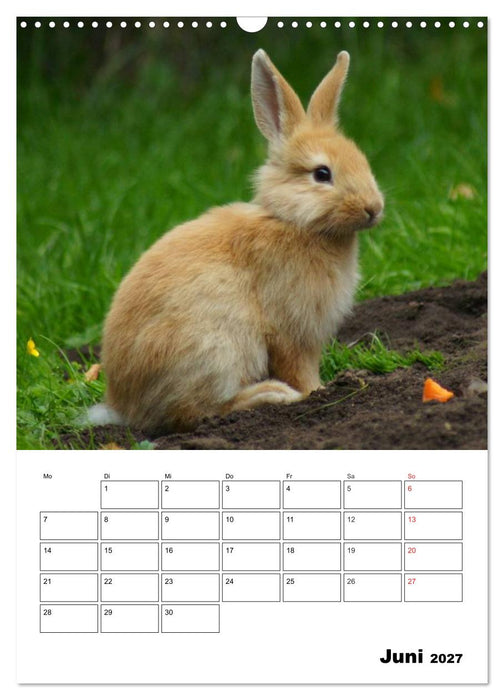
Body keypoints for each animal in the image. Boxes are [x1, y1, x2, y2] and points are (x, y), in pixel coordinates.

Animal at [95, 49, 384, 434]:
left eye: (362, 160)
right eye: (322, 174)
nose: (374, 208)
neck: (294, 222)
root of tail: (124, 407)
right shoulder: (290, 331)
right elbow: (299, 369)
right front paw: (317, 393)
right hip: (216, 351)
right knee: (196, 411)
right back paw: (270, 395)